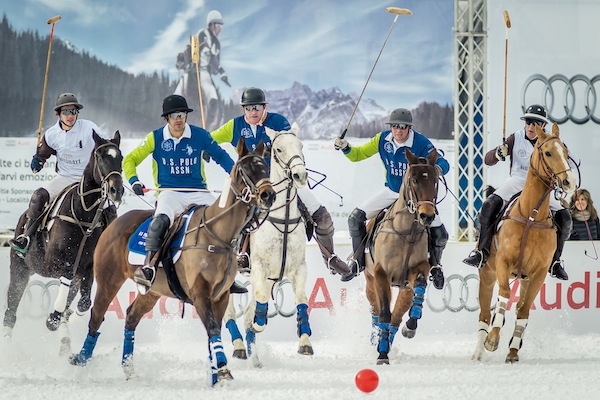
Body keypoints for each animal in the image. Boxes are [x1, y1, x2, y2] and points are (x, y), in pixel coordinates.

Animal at [1, 130, 124, 352]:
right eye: (100, 156)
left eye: (121, 157)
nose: (116, 191)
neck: (85, 216)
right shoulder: (54, 262)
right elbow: (67, 274)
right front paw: (52, 319)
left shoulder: (88, 267)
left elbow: (84, 302)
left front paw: (67, 318)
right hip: (20, 268)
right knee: (11, 308)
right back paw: (8, 345)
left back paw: (65, 338)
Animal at [69, 139, 276, 386]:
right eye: (246, 170)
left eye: (265, 168)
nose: (268, 195)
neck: (218, 235)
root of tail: (114, 222)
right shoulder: (200, 293)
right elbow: (213, 329)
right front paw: (224, 371)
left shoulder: (221, 296)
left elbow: (212, 332)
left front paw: (214, 375)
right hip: (109, 280)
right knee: (96, 317)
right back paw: (81, 360)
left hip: (152, 291)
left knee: (131, 316)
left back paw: (128, 368)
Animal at [223, 123, 312, 364]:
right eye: (279, 149)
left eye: (301, 146)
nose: (300, 175)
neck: (283, 218)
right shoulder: (259, 267)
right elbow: (260, 301)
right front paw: (258, 324)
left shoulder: (297, 268)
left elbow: (301, 300)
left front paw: (305, 341)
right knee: (230, 312)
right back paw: (239, 346)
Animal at [360, 148, 440, 366]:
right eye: (413, 180)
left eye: (435, 181)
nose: (427, 216)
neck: (407, 232)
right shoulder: (381, 273)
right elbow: (384, 313)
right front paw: (381, 354)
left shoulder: (418, 268)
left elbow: (420, 283)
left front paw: (411, 324)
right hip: (369, 279)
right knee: (376, 310)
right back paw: (376, 340)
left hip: (403, 287)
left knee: (396, 316)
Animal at [472, 123, 580, 364]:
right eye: (548, 153)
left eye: (566, 152)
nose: (569, 182)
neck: (531, 216)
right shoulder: (503, 263)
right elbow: (503, 296)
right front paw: (492, 340)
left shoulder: (537, 273)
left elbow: (523, 310)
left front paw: (513, 351)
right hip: (487, 273)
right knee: (484, 313)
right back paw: (478, 351)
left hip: (523, 278)